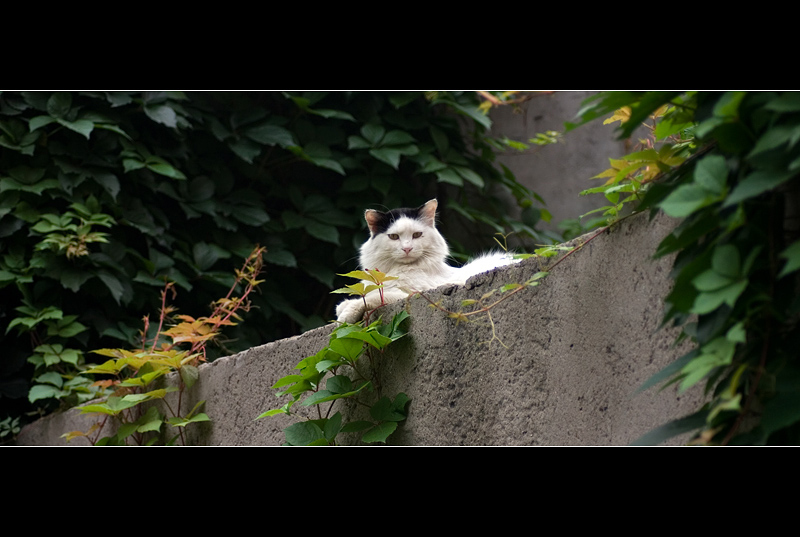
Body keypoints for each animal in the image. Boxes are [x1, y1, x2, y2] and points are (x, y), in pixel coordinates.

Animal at [336, 197, 520, 322]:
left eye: (417, 235)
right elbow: (364, 295)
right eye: (394, 237)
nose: (407, 248)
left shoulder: (407, 294)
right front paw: (342, 306)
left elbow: (370, 298)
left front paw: (344, 316)